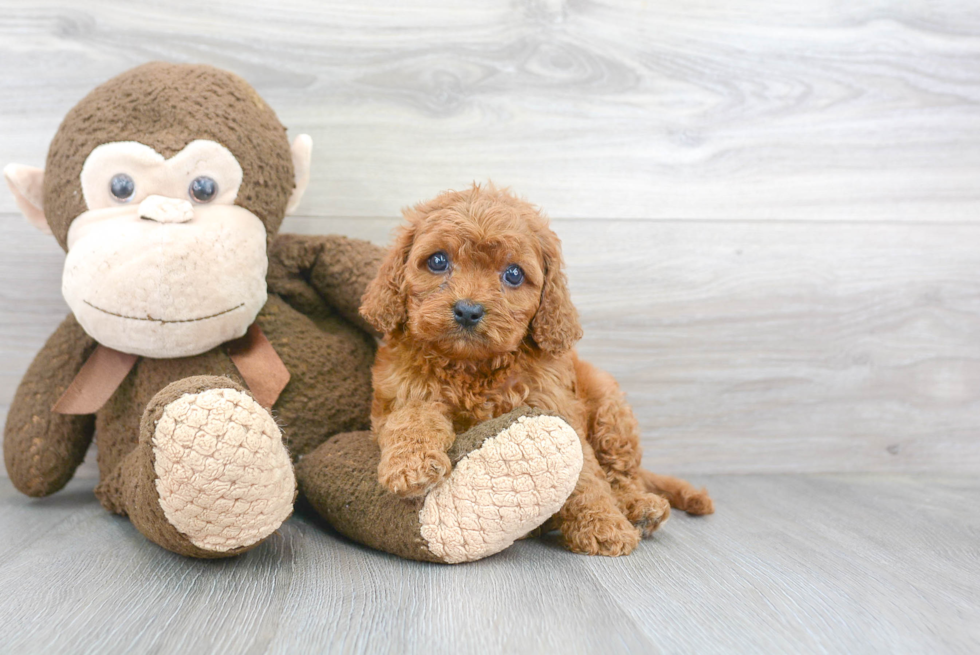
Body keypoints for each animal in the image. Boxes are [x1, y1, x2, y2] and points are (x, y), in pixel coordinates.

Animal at [360, 186, 712, 560]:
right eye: (438, 261)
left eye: (514, 274)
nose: (468, 310)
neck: (472, 366)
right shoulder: (398, 393)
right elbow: (411, 416)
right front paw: (410, 465)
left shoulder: (555, 411)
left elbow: (586, 476)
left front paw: (603, 523)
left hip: (608, 404)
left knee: (624, 475)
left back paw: (638, 508)